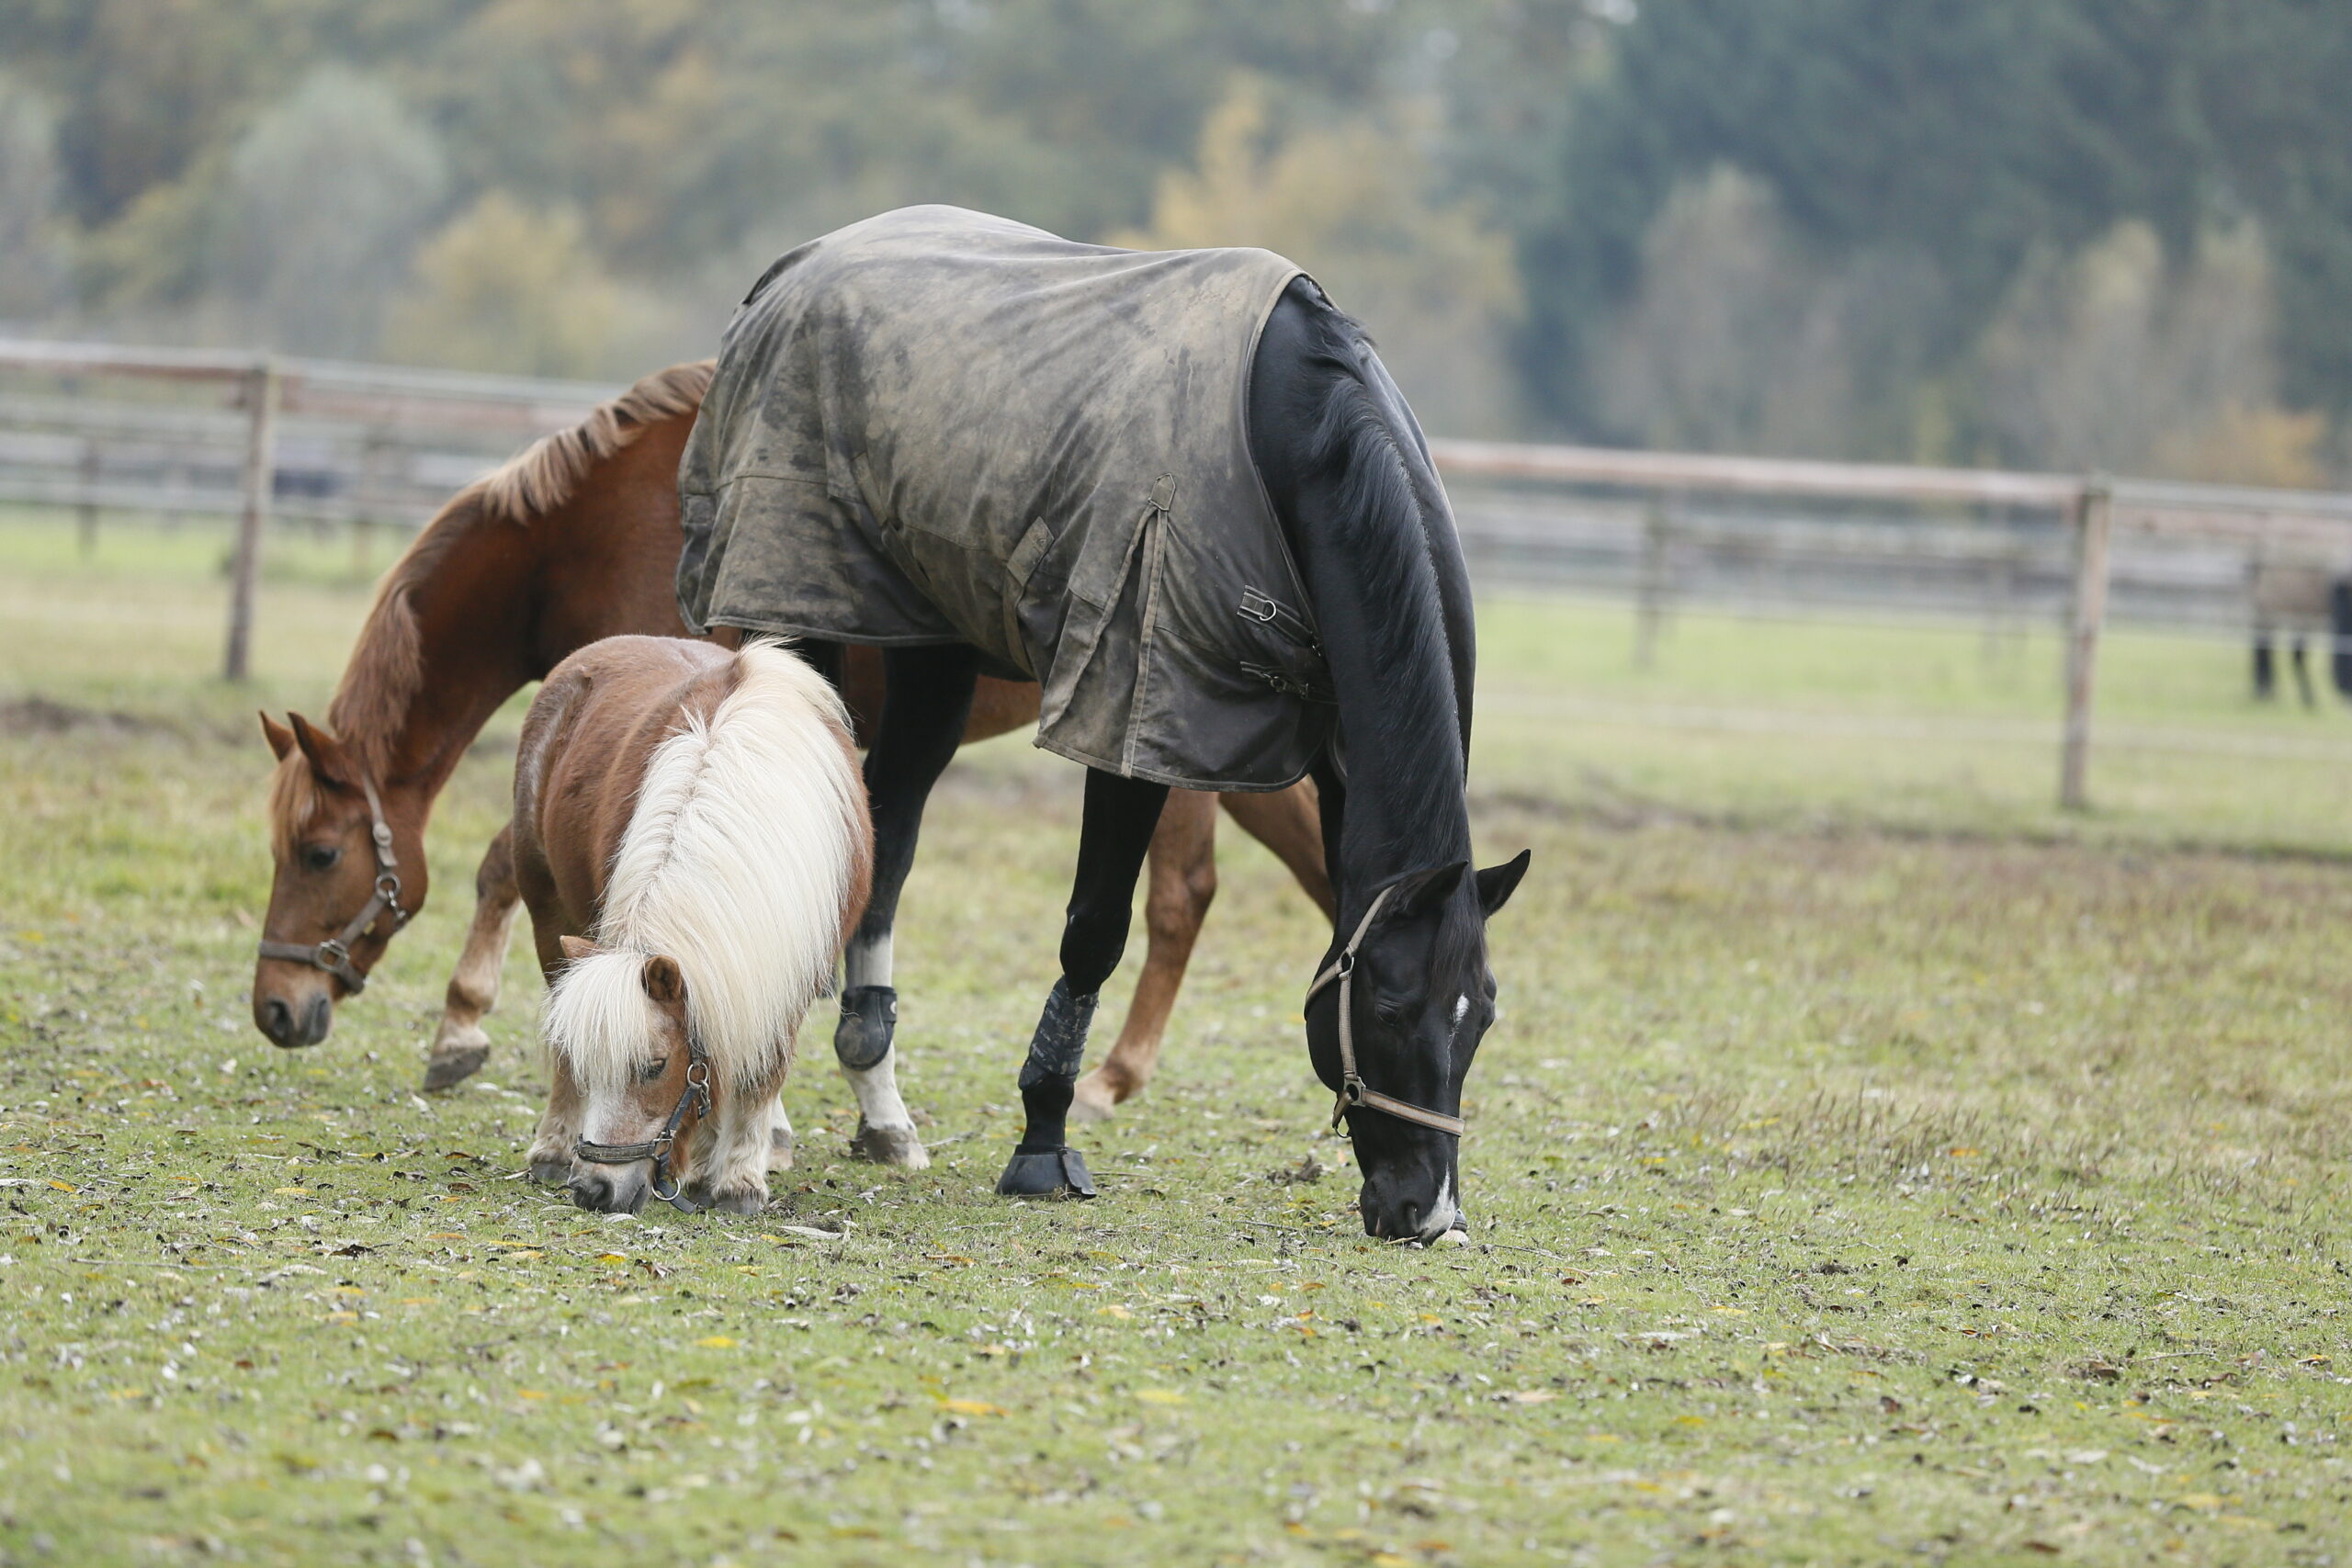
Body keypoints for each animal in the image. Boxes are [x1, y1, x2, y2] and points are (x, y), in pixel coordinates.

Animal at [521, 636, 869, 1215]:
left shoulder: (788, 970)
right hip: (546, 909)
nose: (594, 1189)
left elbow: (756, 1071)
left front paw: (736, 1182)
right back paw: (551, 1149)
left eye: (655, 1065)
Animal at [679, 207, 1530, 1242]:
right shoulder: (1131, 711)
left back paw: (879, 1108)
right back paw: (778, 1119)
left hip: (933, 648)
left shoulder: (1337, 761)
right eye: (1394, 1007)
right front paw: (1044, 1139)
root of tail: (793, 270)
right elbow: (1095, 930)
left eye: (1481, 1015)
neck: (1299, 437)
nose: (1428, 1211)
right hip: (797, 606)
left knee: (887, 831)